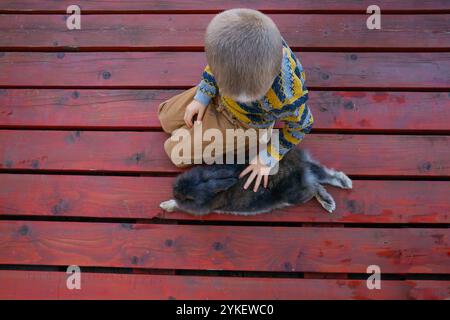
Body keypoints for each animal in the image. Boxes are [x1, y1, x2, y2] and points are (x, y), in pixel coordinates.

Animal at [160, 149, 354, 215]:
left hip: (296, 195)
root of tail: (301, 168)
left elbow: (178, 207)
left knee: (314, 187)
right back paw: (343, 184)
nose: (174, 191)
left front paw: (166, 205)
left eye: (189, 198)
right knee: (323, 177)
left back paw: (328, 202)